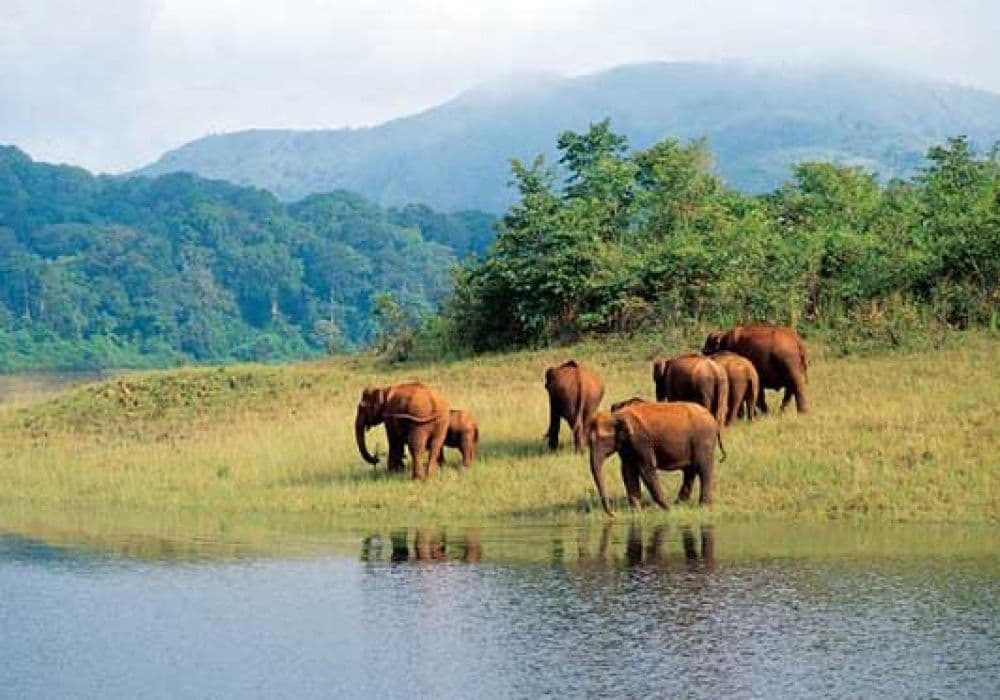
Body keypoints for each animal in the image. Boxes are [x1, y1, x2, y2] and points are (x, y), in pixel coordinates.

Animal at [587, 401, 725, 517]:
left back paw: (703, 507)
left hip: (704, 440)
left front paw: (667, 510)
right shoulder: (627, 445)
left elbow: (646, 469)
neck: (616, 416)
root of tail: (712, 418)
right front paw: (637, 512)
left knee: (703, 470)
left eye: (603, 440)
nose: (613, 514)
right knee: (690, 471)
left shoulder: (640, 440)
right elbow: (628, 471)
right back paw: (679, 503)